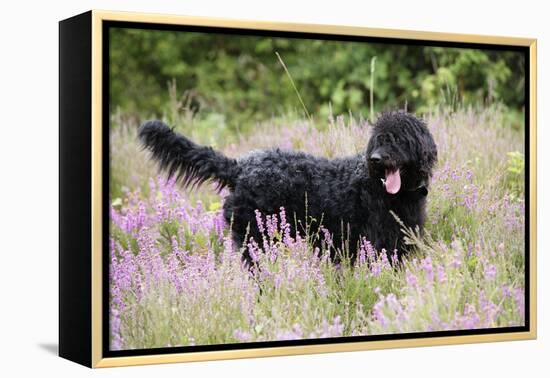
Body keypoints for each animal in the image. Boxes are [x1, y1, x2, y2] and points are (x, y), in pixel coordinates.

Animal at [139, 112, 440, 262]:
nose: (376, 159)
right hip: (256, 239)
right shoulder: (377, 243)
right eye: (377, 139)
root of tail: (240, 167)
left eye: (398, 139)